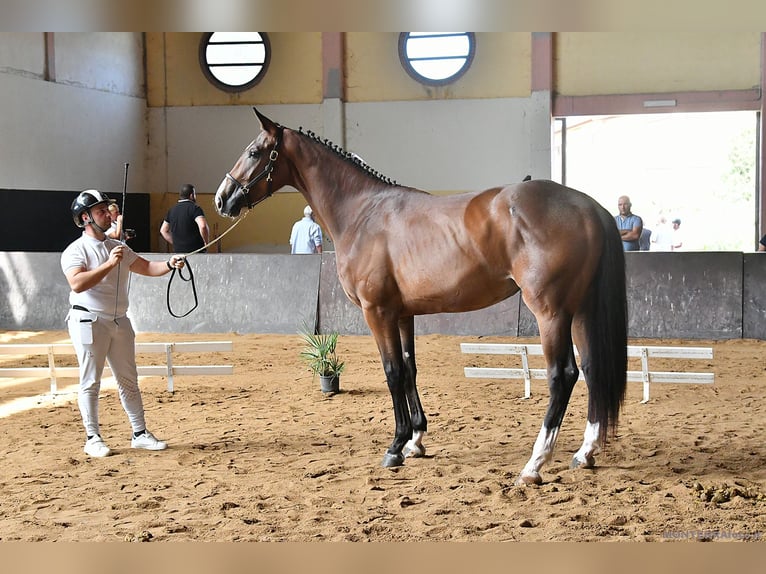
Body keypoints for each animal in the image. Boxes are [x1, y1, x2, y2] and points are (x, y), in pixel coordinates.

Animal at [215, 108, 628, 485]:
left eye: (254, 152)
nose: (222, 199)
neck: (362, 213)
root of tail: (589, 207)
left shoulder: (377, 312)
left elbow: (392, 372)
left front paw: (395, 447)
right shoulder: (401, 314)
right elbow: (410, 368)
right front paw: (416, 440)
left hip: (550, 311)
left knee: (563, 374)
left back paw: (534, 464)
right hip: (581, 311)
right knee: (591, 368)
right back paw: (585, 452)